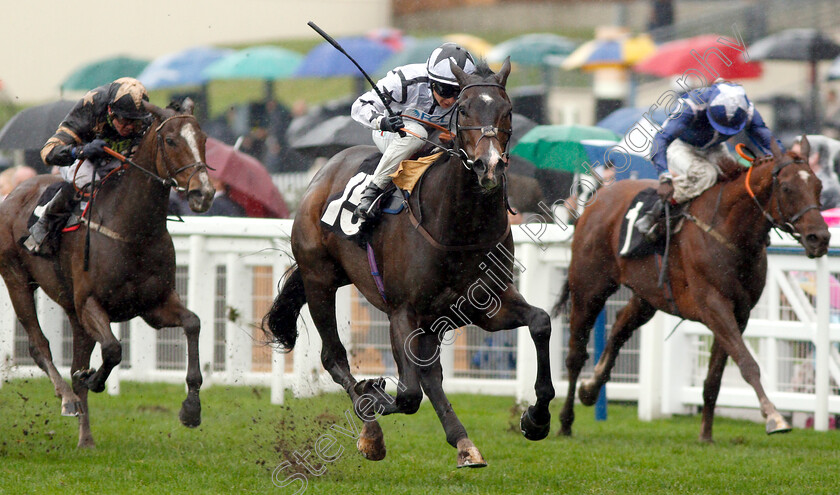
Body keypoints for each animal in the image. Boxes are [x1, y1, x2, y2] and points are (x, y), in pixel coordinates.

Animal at [0, 99, 217, 448]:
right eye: (171, 140)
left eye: (204, 139)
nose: (203, 194)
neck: (133, 231)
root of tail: (15, 190)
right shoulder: (90, 303)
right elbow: (114, 350)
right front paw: (96, 380)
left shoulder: (153, 305)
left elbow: (193, 324)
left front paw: (191, 408)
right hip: (17, 280)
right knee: (39, 345)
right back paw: (68, 399)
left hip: (72, 311)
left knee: (75, 360)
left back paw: (86, 437)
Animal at [260, 60, 552, 466]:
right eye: (464, 110)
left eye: (507, 111)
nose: (489, 166)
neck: (459, 228)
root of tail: (322, 173)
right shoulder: (402, 311)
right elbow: (407, 394)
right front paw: (373, 394)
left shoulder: (485, 307)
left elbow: (540, 322)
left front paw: (536, 419)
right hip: (320, 279)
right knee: (334, 357)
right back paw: (371, 428)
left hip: (427, 317)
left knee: (430, 375)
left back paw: (464, 443)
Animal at [556, 138, 832, 444]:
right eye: (786, 188)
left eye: (818, 185)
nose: (820, 237)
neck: (730, 230)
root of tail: (598, 198)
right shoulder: (714, 305)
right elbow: (747, 363)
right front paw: (774, 417)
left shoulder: (740, 313)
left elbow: (714, 378)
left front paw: (706, 434)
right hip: (589, 288)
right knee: (575, 355)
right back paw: (565, 422)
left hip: (648, 296)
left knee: (619, 327)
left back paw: (590, 388)